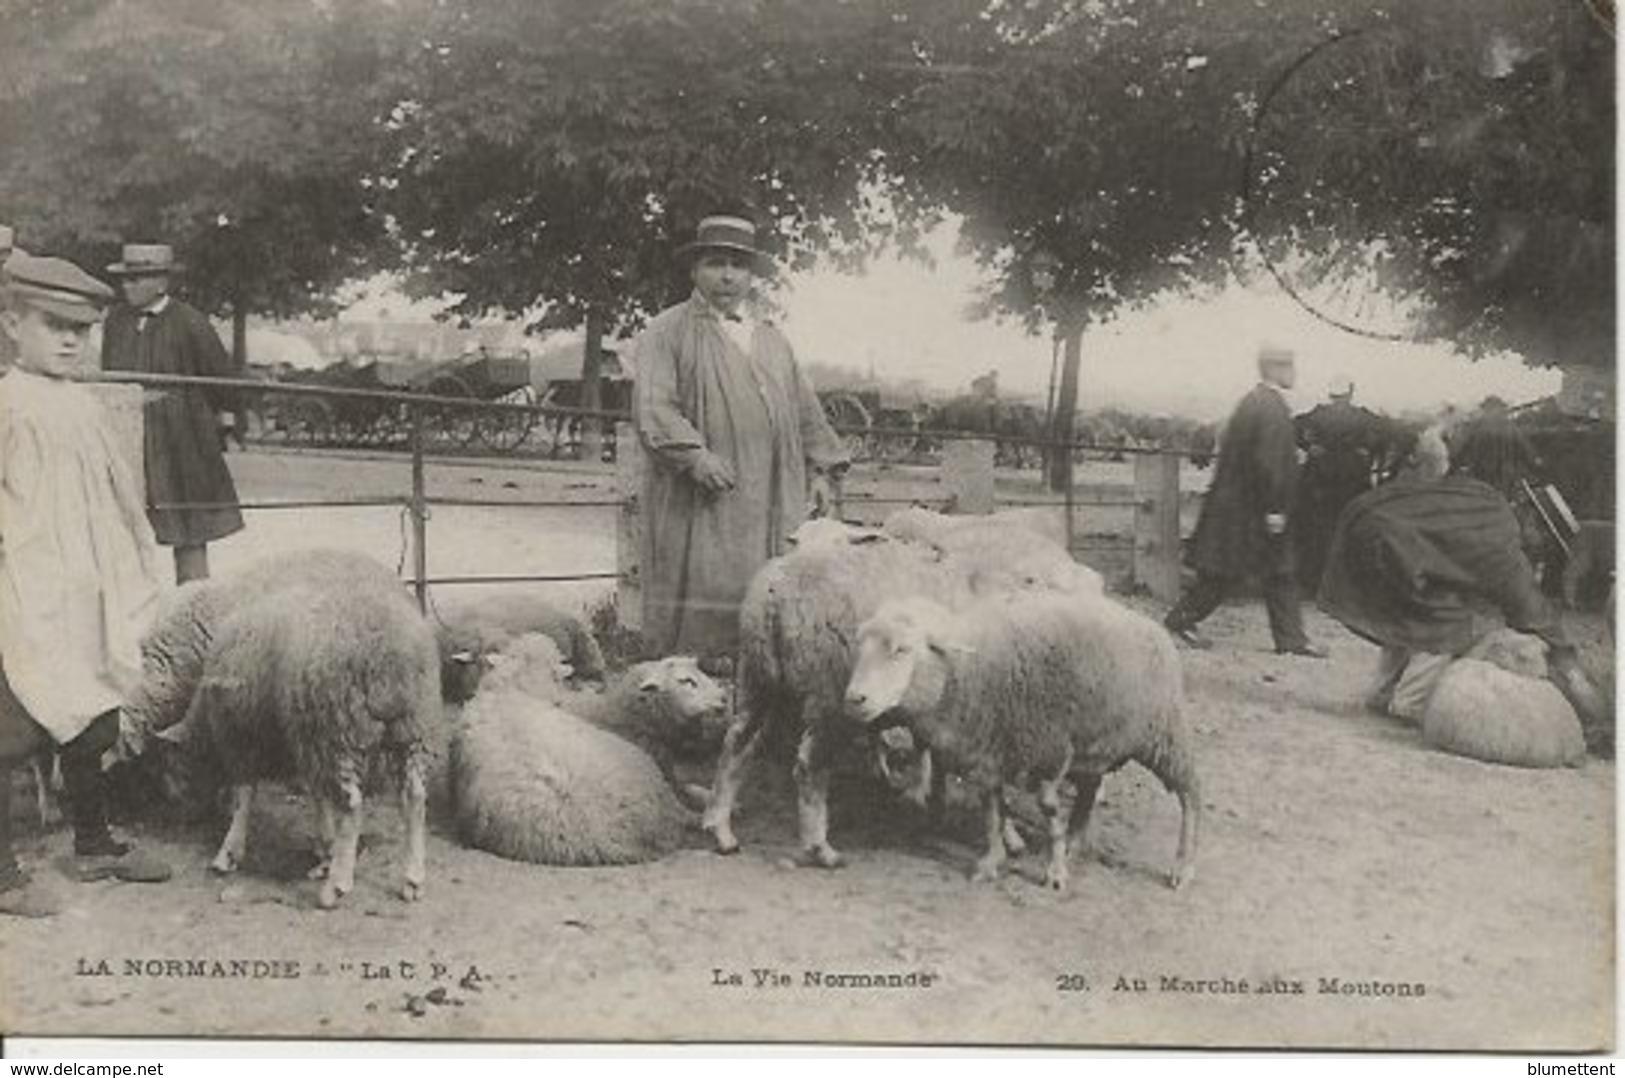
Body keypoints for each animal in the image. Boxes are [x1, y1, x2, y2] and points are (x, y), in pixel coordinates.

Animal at [122, 549, 438, 910]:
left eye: (158, 763)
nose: (169, 809)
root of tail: (391, 660)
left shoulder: (245, 731)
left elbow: (245, 793)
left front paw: (230, 850)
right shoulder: (297, 735)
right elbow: (316, 794)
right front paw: (324, 849)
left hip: (337, 730)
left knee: (351, 805)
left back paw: (336, 885)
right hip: (411, 728)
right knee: (414, 796)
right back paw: (412, 879)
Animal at [845, 595, 1202, 891]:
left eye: (902, 650)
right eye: (860, 648)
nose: (854, 698)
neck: (969, 672)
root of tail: (1151, 625)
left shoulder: (1050, 752)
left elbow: (1049, 811)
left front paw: (1055, 871)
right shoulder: (988, 756)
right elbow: (992, 812)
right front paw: (992, 861)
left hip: (1165, 735)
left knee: (1190, 794)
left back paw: (1183, 866)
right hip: (1093, 748)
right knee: (1089, 792)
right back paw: (1075, 842)